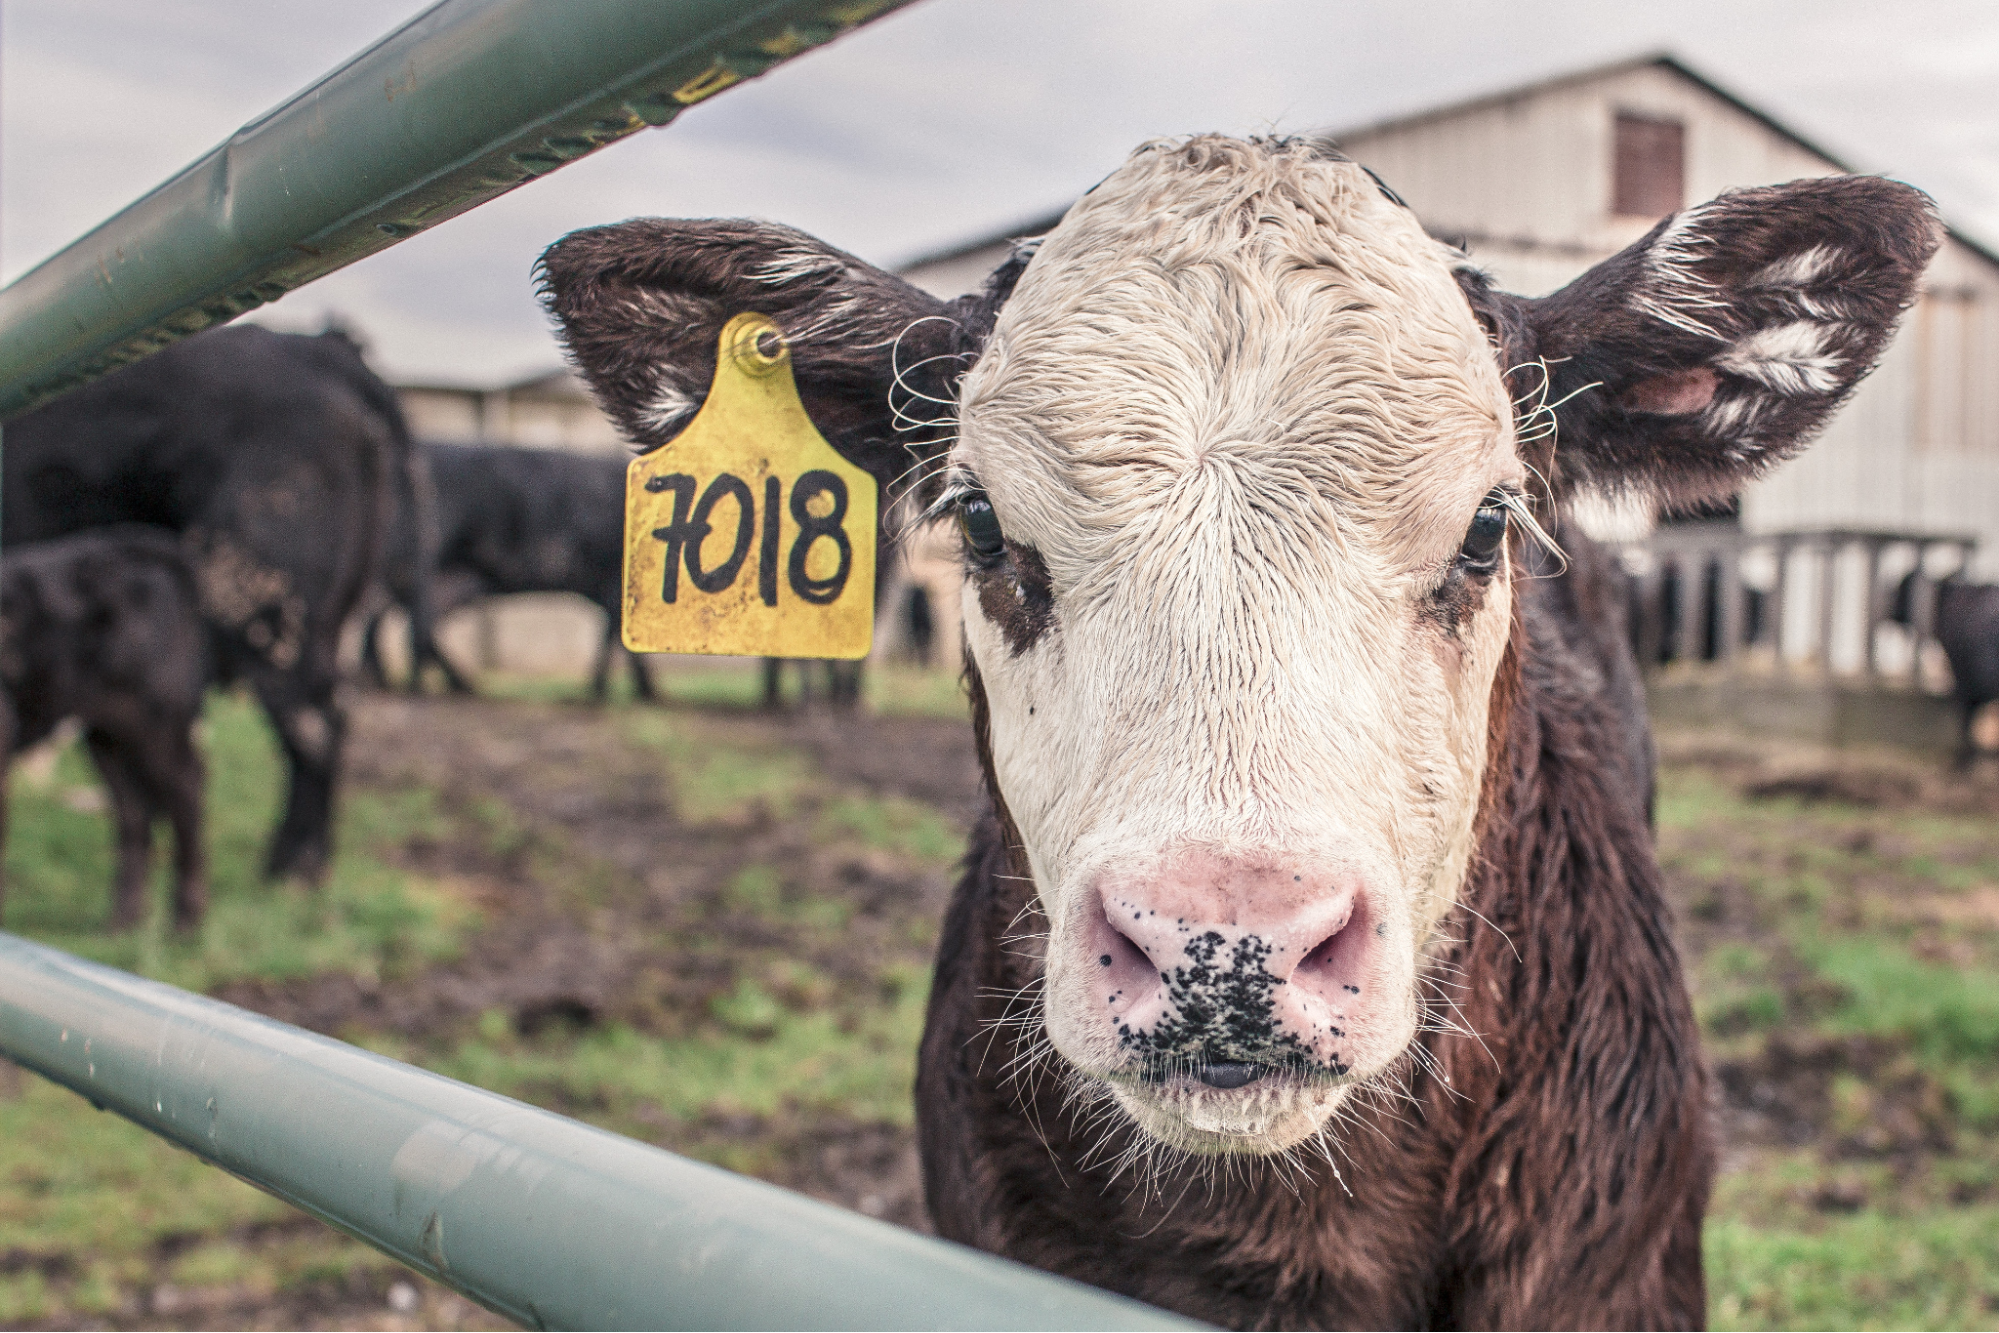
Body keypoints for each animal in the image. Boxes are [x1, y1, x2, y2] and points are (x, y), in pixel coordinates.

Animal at [0, 527, 208, 929]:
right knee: (133, 809)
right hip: (107, 732)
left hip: (156, 721)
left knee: (185, 789)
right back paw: (124, 921)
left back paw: (185, 922)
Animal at [359, 441, 655, 702]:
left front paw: (614, 690)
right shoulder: (616, 581)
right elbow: (618, 635)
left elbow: (613, 633)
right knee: (406, 620)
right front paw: (634, 691)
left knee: (401, 619)